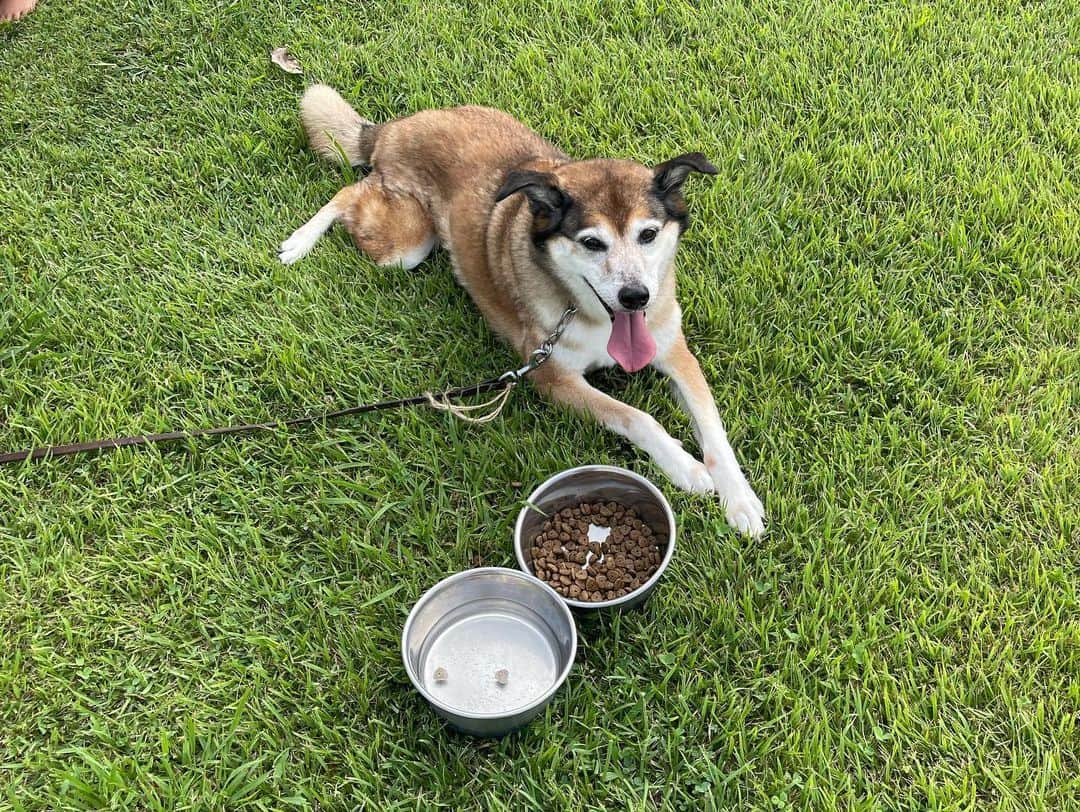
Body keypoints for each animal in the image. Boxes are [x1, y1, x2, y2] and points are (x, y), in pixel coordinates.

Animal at [280, 85, 768, 535]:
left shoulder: (675, 353)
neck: (590, 317)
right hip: (405, 245)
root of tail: (396, 127)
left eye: (648, 234)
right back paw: (298, 242)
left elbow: (715, 430)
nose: (636, 297)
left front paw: (740, 500)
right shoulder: (554, 379)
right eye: (592, 243)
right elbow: (638, 417)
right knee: (348, 193)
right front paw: (687, 469)